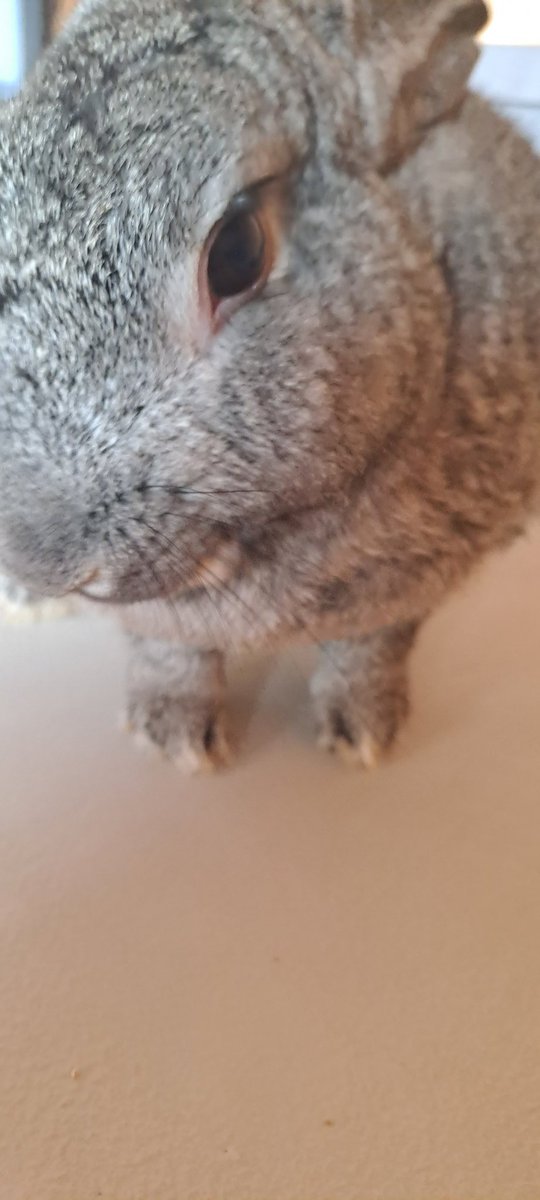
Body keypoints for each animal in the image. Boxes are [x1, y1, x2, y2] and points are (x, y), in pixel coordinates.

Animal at [1, 0, 539, 774]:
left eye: (237, 253)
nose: (45, 562)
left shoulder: (408, 591)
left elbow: (370, 650)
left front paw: (364, 737)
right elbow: (170, 652)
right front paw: (175, 741)